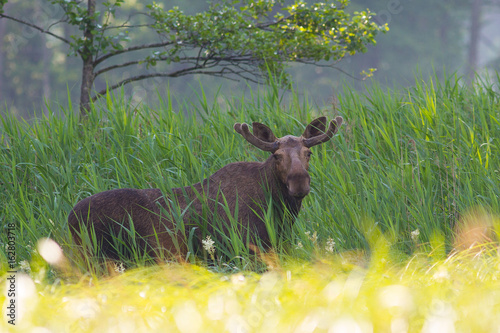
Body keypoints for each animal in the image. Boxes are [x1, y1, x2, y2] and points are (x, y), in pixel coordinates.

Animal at [68, 115, 344, 258]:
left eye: (309, 153)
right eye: (276, 156)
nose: (299, 182)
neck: (279, 210)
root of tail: (68, 218)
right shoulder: (244, 246)